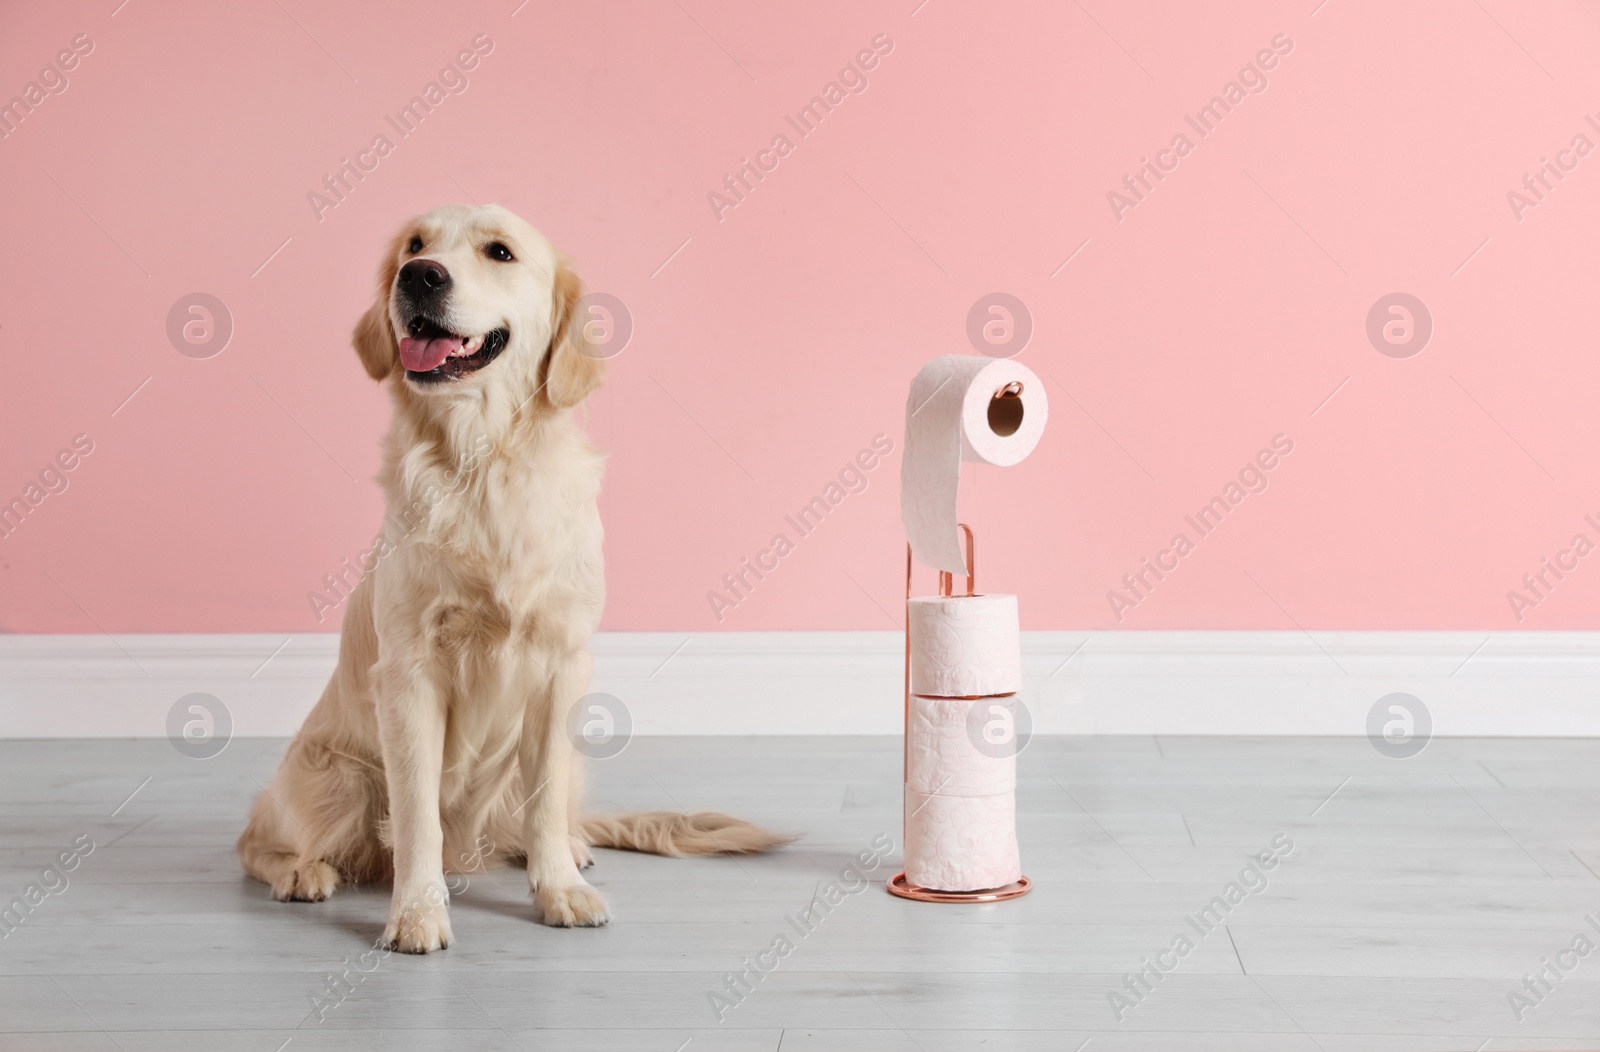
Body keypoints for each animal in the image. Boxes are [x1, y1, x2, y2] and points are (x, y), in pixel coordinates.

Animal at [235, 203, 780, 952]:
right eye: (414, 244)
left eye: (499, 252)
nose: (419, 276)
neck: (485, 462)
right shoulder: (409, 674)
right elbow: (416, 819)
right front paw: (417, 912)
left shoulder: (560, 666)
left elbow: (544, 803)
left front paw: (560, 890)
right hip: (335, 779)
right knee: (256, 841)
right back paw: (301, 871)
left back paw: (572, 849)